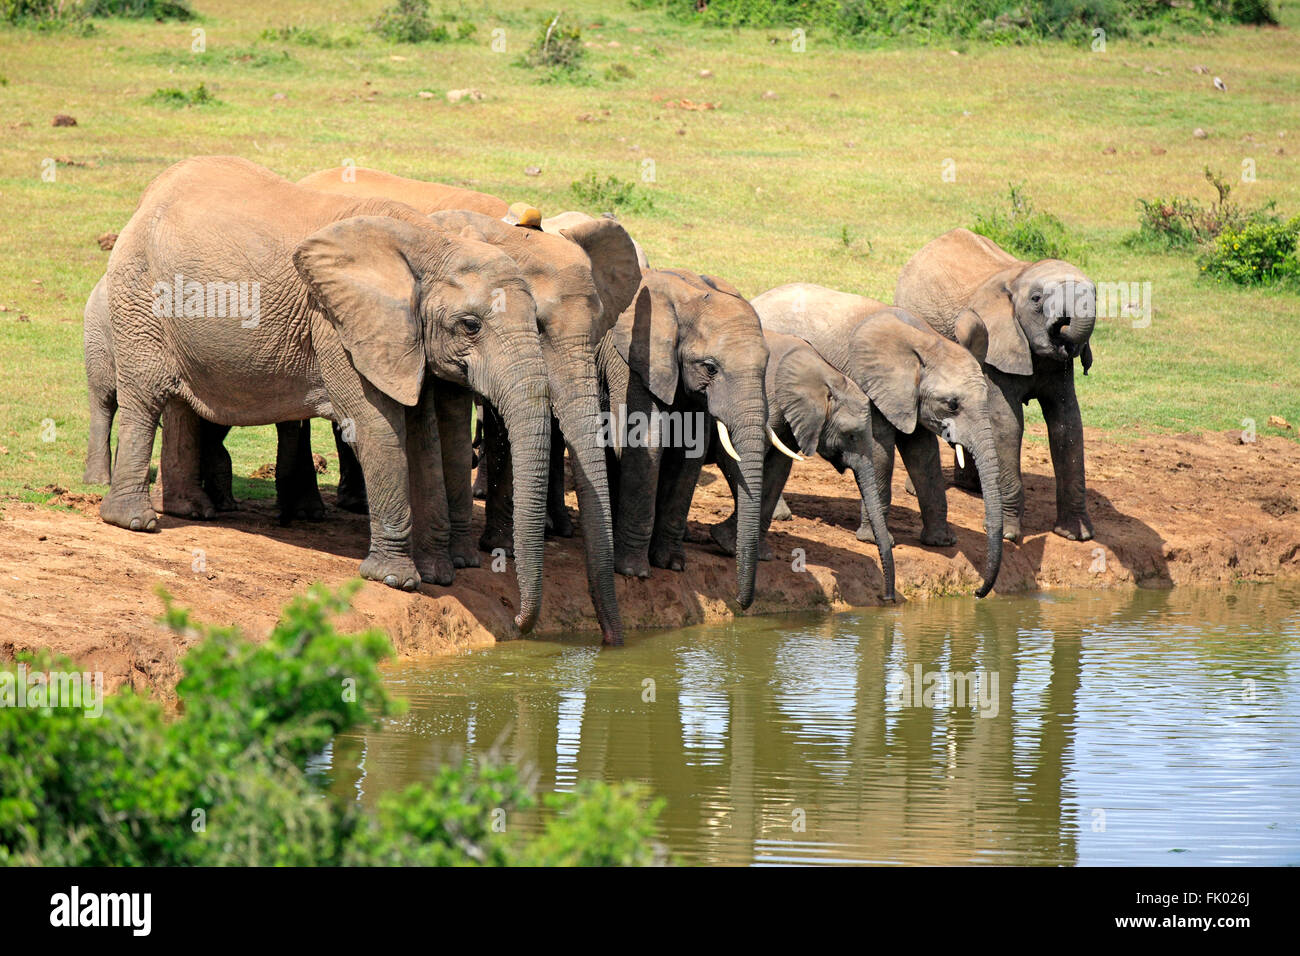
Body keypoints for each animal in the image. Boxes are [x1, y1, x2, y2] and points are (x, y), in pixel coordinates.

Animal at [98, 156, 551, 632]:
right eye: (470, 326)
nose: (520, 621)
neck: (428, 243)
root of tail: (151, 193)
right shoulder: (339, 325)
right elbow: (378, 429)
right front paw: (394, 579)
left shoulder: (404, 340)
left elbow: (422, 435)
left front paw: (438, 576)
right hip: (139, 293)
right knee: (145, 396)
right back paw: (134, 521)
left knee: (181, 404)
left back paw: (190, 511)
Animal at [598, 267, 769, 606]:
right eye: (711, 368)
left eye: (766, 367)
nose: (741, 603)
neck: (689, 298)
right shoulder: (633, 357)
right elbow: (643, 442)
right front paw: (634, 572)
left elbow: (690, 453)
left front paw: (672, 565)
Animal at [754, 282, 1003, 598]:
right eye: (952, 405)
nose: (978, 593)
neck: (926, 343)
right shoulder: (872, 387)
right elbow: (880, 452)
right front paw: (874, 540)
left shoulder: (911, 398)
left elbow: (924, 456)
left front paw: (942, 542)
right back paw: (782, 517)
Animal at [904, 228, 1097, 541]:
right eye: (1036, 299)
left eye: (1096, 297)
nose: (1063, 325)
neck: (1020, 274)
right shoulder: (994, 350)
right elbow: (1006, 424)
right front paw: (1007, 535)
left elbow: (1067, 424)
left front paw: (1077, 534)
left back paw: (974, 486)